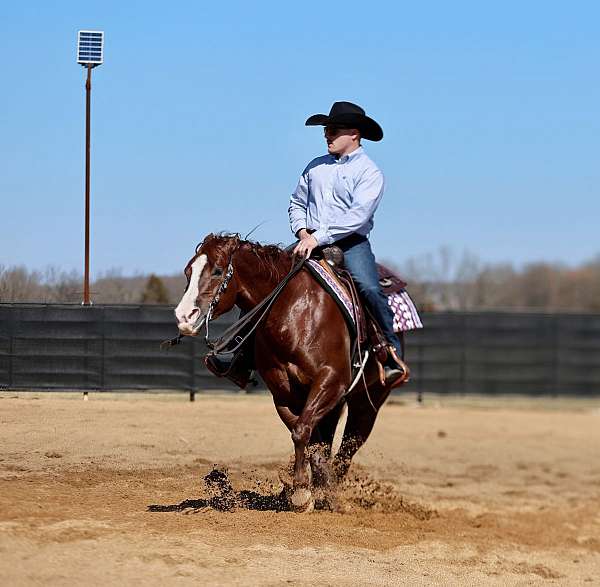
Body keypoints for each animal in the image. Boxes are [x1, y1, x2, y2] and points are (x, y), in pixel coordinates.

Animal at [175, 233, 398, 510]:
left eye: (217, 270)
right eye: (188, 271)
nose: (184, 316)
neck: (294, 315)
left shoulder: (331, 380)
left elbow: (303, 431)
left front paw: (303, 490)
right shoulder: (283, 391)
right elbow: (308, 436)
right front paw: (307, 487)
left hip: (367, 402)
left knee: (349, 446)